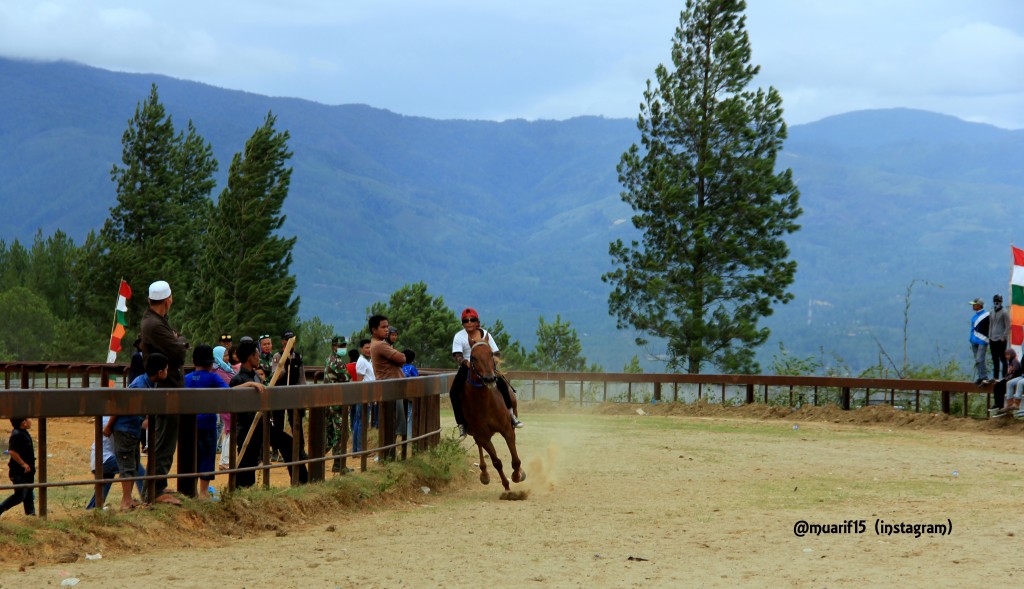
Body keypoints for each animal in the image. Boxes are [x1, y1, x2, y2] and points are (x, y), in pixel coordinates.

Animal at [464, 335, 528, 493]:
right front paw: (506, 485)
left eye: (491, 354)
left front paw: (517, 475)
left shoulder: (506, 429)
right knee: (479, 447)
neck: (485, 403)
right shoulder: (483, 436)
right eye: (473, 357)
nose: (489, 379)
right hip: (476, 434)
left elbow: (515, 460)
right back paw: (484, 474)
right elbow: (496, 462)